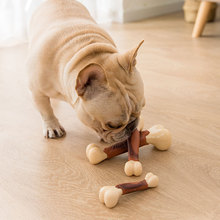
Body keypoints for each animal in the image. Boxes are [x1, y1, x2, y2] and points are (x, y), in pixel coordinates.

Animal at [26, 0, 145, 144]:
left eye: (142, 108)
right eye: (112, 125)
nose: (133, 125)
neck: (84, 53)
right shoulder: (37, 92)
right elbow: (45, 110)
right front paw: (52, 127)